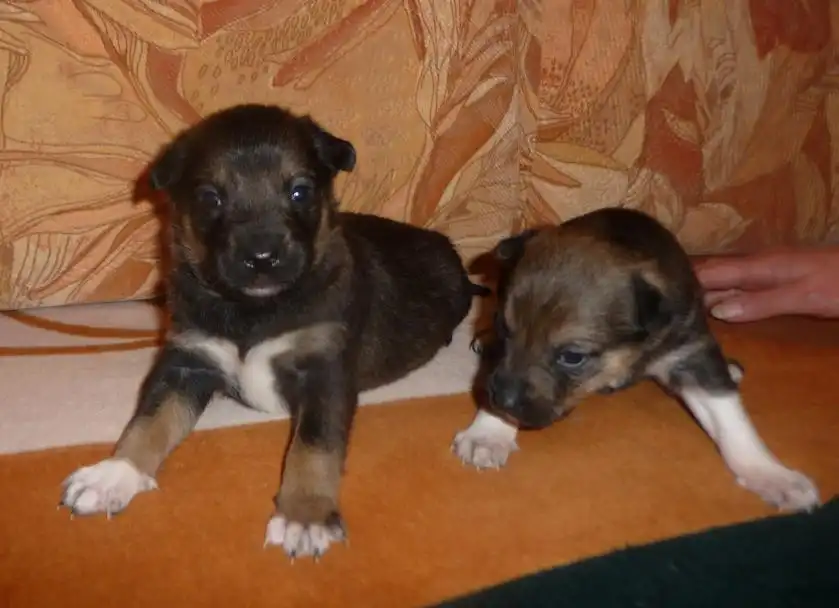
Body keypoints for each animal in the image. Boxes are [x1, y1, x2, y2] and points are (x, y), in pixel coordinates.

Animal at [60, 104, 488, 559]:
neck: (254, 309)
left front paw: (304, 516)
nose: (262, 257)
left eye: (300, 191)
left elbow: (313, 448)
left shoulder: (324, 369)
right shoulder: (188, 359)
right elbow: (148, 419)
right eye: (210, 197)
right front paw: (113, 474)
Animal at [453, 207, 820, 512]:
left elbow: (731, 420)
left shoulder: (690, 351)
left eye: (572, 357)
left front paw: (771, 474)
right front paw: (490, 432)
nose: (502, 399)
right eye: (503, 328)